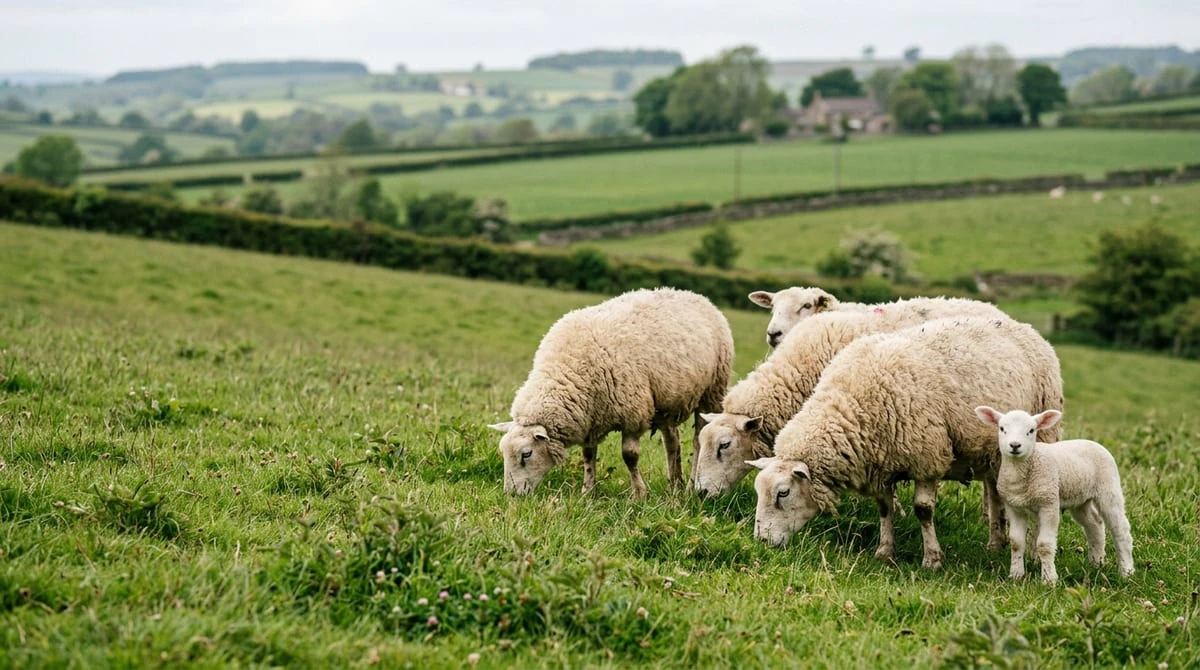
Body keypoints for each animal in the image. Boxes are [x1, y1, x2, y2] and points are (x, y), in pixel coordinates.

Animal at [490, 288, 733, 498]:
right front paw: (588, 492)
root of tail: (694, 295)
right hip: (665, 402)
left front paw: (639, 494)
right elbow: (588, 455)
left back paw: (691, 484)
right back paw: (675, 484)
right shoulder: (590, 418)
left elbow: (630, 457)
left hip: (712, 392)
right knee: (672, 441)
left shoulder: (633, 415)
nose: (511, 494)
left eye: (526, 454)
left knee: (699, 439)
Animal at [747, 316, 1064, 569]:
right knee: (996, 492)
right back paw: (995, 543)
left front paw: (932, 559)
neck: (852, 403)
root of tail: (1023, 325)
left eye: (783, 493)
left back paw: (1031, 551)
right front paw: (885, 551)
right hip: (992, 454)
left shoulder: (927, 457)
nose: (761, 540)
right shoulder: (880, 463)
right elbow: (884, 507)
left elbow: (923, 511)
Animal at [973, 407, 1134, 585]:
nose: (1015, 445)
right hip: (1080, 498)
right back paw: (1096, 563)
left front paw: (1049, 580)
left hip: (1108, 489)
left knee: (1120, 529)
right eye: (1002, 428)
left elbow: (1044, 545)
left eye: (1031, 430)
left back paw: (1127, 571)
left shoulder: (1049, 503)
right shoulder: (1014, 507)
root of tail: (1092, 442)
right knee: (1094, 523)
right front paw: (1016, 575)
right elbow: (1016, 543)